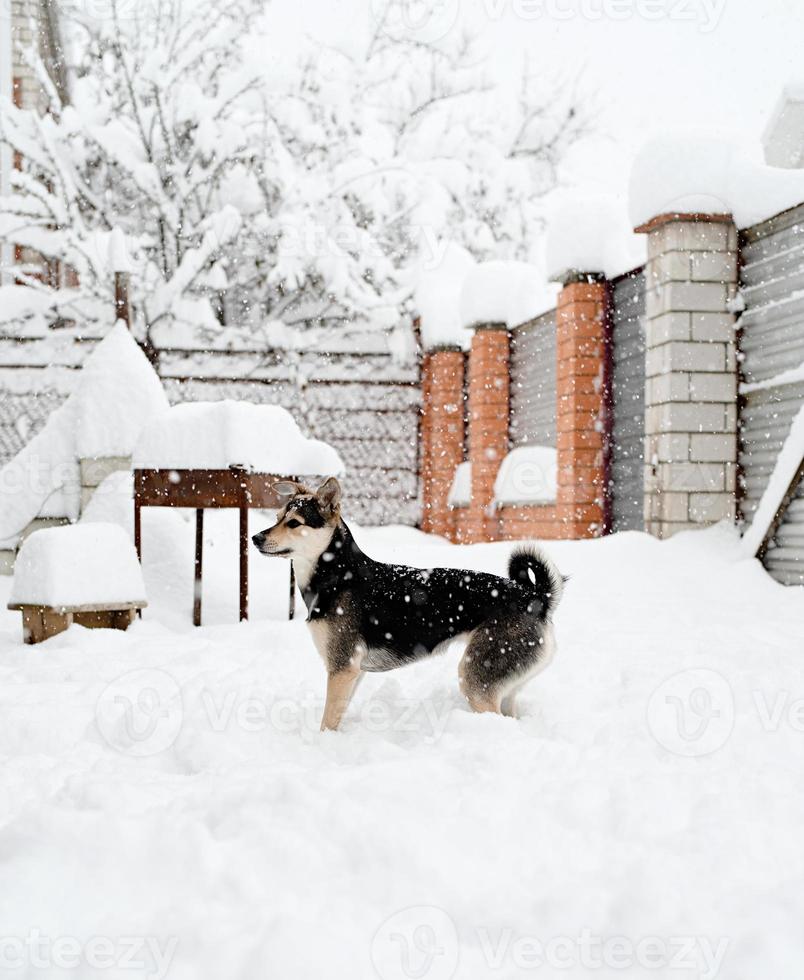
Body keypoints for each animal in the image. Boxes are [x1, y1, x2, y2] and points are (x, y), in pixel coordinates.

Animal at [253, 478, 564, 732]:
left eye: (294, 523)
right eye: (277, 517)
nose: (256, 537)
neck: (337, 574)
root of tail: (535, 597)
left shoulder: (342, 668)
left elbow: (327, 721)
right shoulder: (352, 672)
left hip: (476, 679)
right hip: (506, 683)